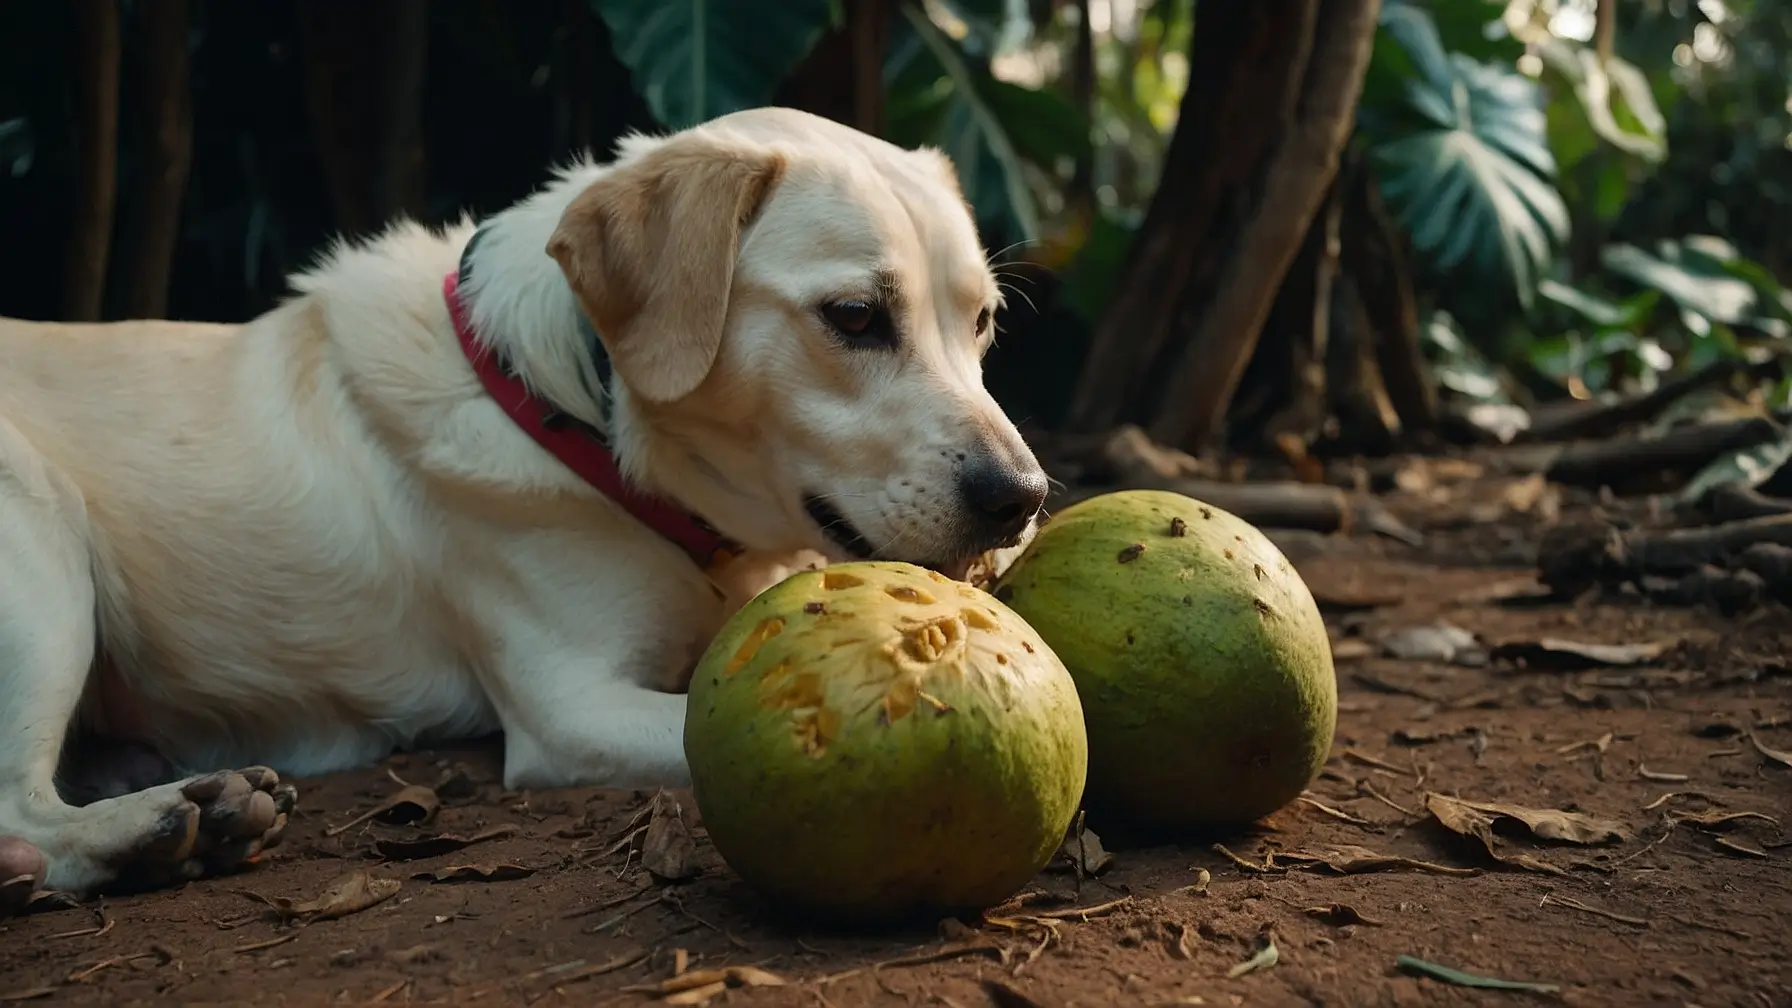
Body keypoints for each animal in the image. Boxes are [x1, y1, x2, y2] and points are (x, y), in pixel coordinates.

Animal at [0, 108, 1046, 903]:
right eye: (855, 317)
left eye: (983, 321)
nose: (1023, 498)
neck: (585, 421)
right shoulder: (574, 710)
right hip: (39, 549)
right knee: (21, 811)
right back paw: (161, 825)